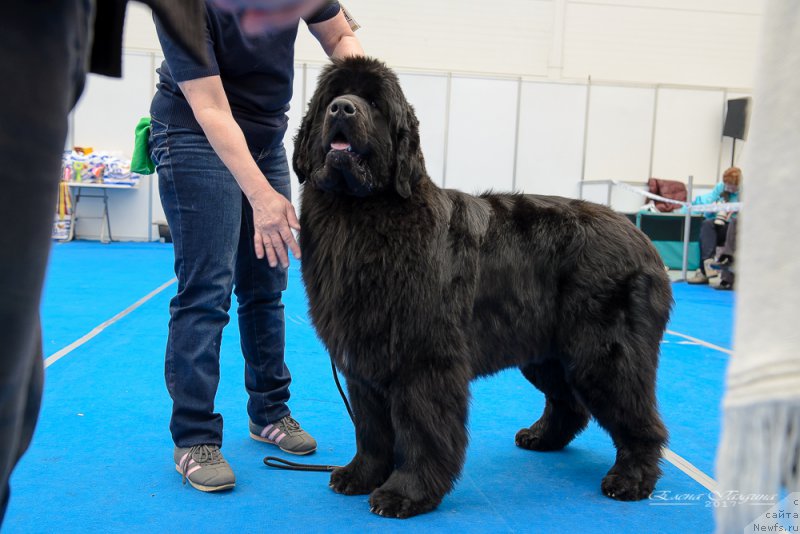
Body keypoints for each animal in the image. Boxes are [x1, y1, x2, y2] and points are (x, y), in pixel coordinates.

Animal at [290, 57, 672, 520]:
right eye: (332, 97)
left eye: (375, 104)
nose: (343, 109)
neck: (360, 214)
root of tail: (642, 237)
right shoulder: (364, 361)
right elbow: (370, 427)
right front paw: (360, 475)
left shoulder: (423, 359)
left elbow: (420, 429)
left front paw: (406, 493)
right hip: (548, 352)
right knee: (568, 402)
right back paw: (542, 437)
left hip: (602, 354)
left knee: (637, 416)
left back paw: (630, 479)